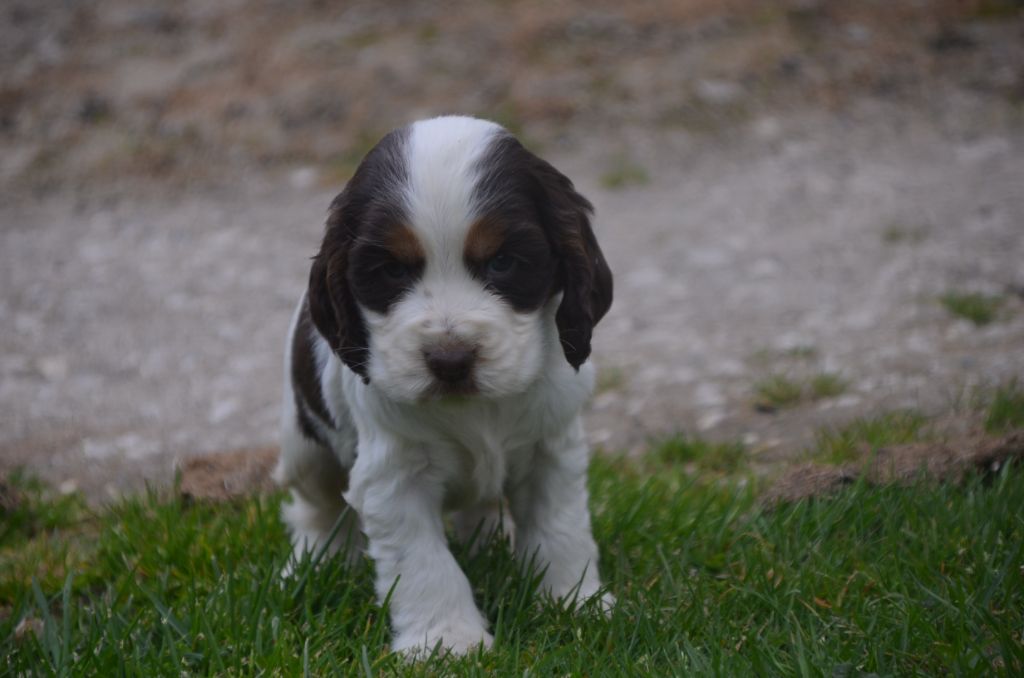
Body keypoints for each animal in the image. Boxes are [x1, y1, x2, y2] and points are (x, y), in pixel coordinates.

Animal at [274, 114, 614, 655]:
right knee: (316, 507)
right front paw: (447, 642)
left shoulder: (551, 448)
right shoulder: (395, 475)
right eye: (392, 269)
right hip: (303, 447)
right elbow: (424, 562)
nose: (450, 361)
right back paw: (312, 564)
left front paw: (574, 602)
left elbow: (559, 527)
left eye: (502, 262)